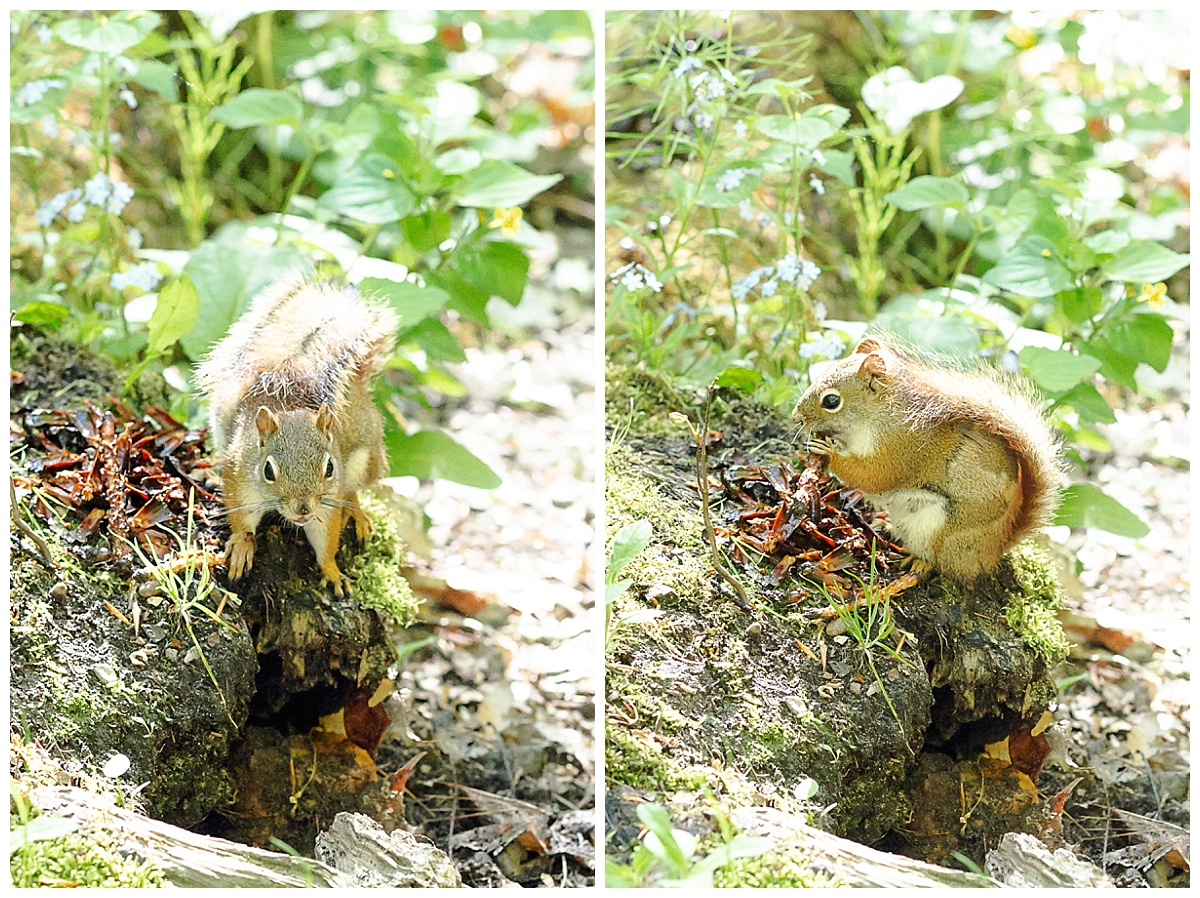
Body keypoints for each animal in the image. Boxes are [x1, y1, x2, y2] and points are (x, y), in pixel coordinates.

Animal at [197, 277, 398, 595]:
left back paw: (356, 511)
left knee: (353, 489)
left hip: (366, 459)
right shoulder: (240, 476)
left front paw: (332, 570)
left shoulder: (327, 501)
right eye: (268, 470)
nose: (303, 509)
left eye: (330, 467)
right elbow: (241, 518)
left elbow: (325, 536)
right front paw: (241, 546)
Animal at [791, 337, 1063, 583]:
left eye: (832, 400)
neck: (877, 415)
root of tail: (996, 548)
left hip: (937, 530)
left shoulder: (901, 448)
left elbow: (873, 475)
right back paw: (885, 528)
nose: (796, 416)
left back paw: (920, 562)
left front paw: (829, 453)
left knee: (942, 565)